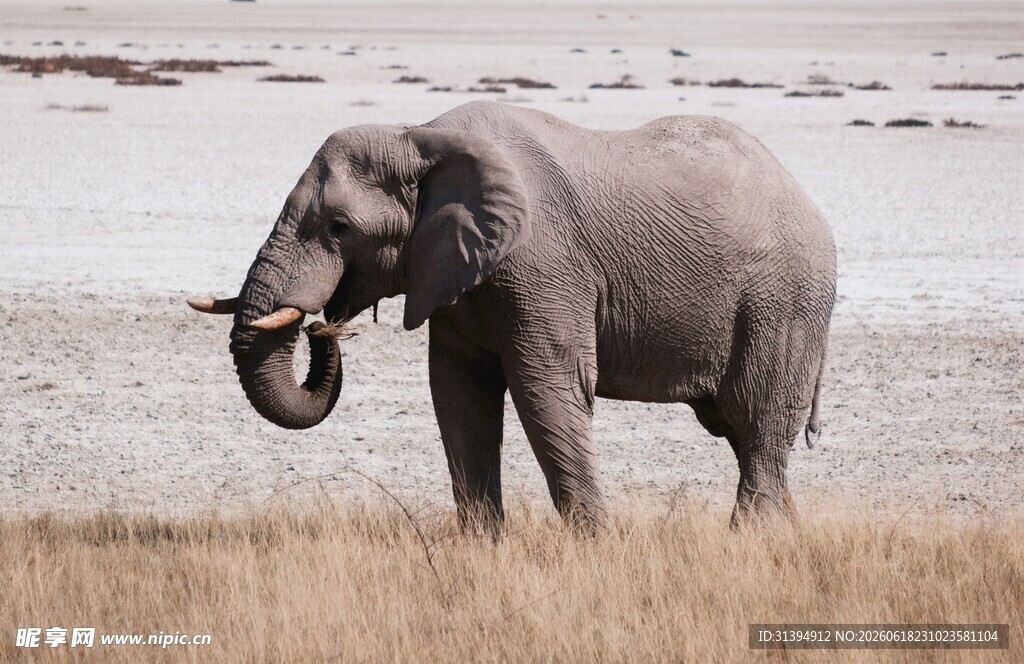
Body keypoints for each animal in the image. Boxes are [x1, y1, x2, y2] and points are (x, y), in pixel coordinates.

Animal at [189, 101, 836, 533]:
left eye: (340, 227)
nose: (325, 323)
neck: (420, 135)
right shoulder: (454, 270)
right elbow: (458, 394)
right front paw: (481, 549)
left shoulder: (544, 264)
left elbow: (546, 389)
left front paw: (598, 550)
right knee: (742, 432)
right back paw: (788, 534)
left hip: (784, 304)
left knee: (757, 421)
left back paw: (751, 541)